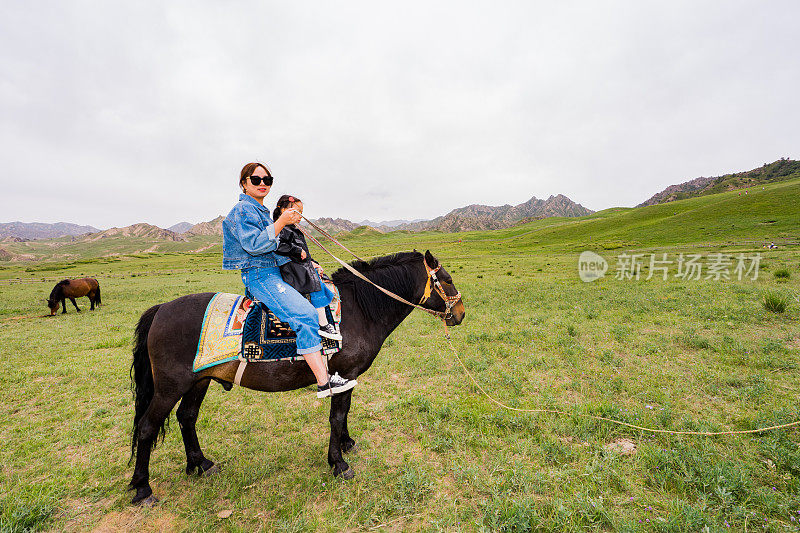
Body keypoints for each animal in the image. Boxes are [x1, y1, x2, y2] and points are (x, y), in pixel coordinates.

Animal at [128, 249, 466, 502]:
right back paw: (143, 489)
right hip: (170, 386)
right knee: (147, 427)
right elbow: (336, 416)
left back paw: (200, 464)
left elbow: (344, 413)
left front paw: (346, 444)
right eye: (447, 279)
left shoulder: (347, 378)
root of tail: (161, 309)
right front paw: (339, 463)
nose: (461, 313)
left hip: (199, 381)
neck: (360, 309)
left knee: (186, 417)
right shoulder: (343, 373)